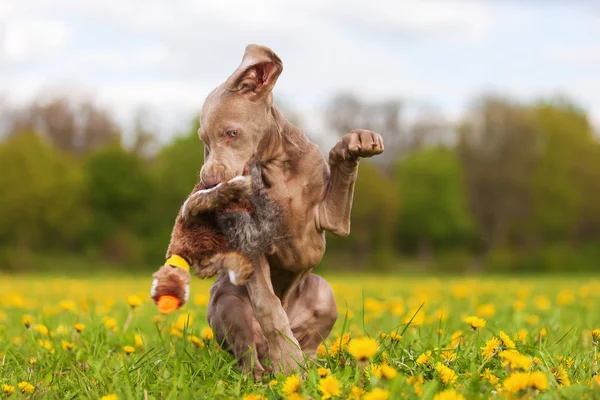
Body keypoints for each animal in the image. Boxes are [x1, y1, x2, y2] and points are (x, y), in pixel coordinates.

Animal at [184, 44, 384, 378]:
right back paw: (267, 371)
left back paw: (315, 364)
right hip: (228, 298)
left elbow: (341, 174)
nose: (208, 183)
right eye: (203, 140)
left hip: (323, 292)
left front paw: (354, 143)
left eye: (231, 133)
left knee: (310, 343)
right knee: (248, 350)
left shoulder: (333, 219)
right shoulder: (251, 243)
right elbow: (268, 306)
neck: (276, 166)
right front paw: (288, 363)